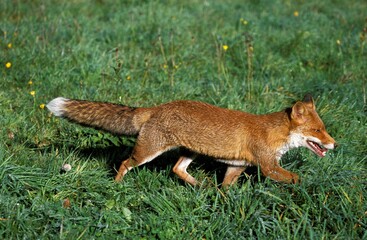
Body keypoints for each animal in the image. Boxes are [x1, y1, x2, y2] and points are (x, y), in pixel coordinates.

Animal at [47, 94, 338, 186]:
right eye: (318, 131)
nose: (335, 144)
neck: (274, 133)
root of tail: (159, 107)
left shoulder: (236, 166)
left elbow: (225, 189)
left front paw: (222, 202)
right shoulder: (267, 167)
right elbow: (296, 178)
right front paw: (308, 188)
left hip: (191, 152)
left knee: (177, 169)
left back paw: (198, 185)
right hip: (146, 153)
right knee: (124, 163)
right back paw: (117, 187)